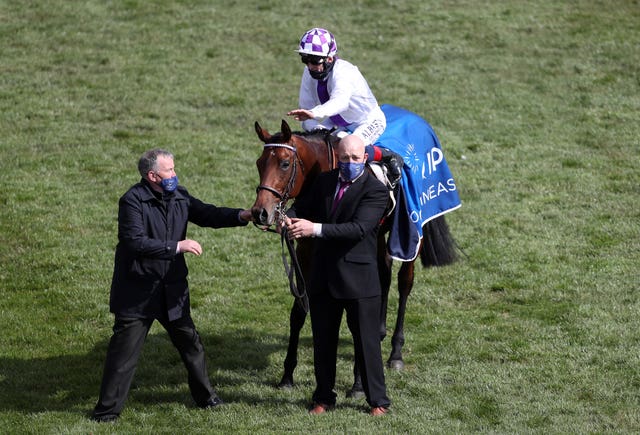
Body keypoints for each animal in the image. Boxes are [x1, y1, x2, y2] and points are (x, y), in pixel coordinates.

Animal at [251, 119, 460, 396]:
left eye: (285, 163)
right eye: (259, 163)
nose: (260, 212)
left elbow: (356, 317)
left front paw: (359, 384)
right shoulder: (306, 252)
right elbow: (298, 311)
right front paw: (287, 376)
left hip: (413, 232)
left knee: (404, 282)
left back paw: (395, 353)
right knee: (384, 274)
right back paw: (380, 332)